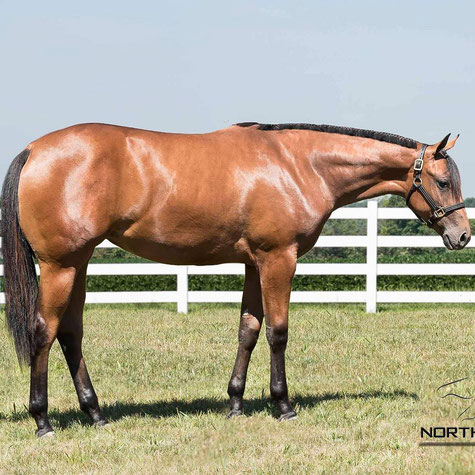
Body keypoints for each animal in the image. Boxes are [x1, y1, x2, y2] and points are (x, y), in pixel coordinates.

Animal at [0, 122, 468, 438]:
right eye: (444, 181)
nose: (462, 236)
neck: (298, 164)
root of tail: (33, 149)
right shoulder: (279, 259)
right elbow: (278, 332)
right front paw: (283, 404)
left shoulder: (254, 264)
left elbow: (249, 330)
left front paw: (235, 403)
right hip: (60, 265)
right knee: (44, 332)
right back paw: (42, 419)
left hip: (78, 263)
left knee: (71, 334)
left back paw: (94, 413)